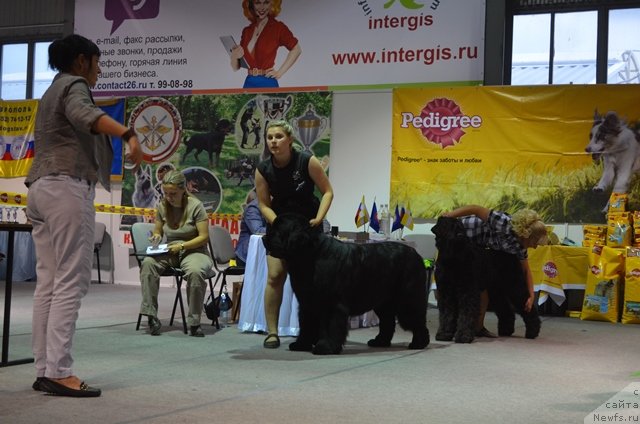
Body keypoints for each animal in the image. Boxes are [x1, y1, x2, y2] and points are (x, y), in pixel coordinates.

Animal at [260, 212, 430, 354]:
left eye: (278, 229)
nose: (263, 238)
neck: (311, 256)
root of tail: (416, 255)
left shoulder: (330, 303)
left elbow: (329, 325)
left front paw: (325, 347)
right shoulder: (307, 302)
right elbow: (306, 324)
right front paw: (301, 344)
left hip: (407, 299)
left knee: (416, 320)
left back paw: (419, 343)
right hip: (384, 302)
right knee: (388, 322)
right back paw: (380, 342)